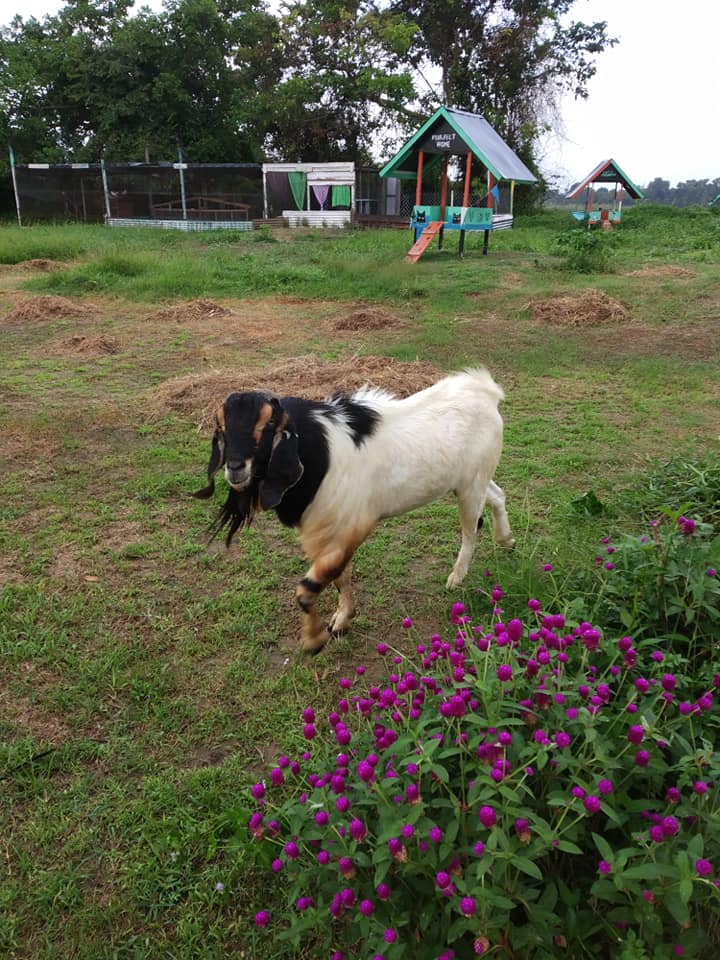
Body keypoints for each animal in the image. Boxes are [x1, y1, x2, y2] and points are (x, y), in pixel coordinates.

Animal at [194, 369, 515, 653]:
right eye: (221, 428)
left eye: (268, 425)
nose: (235, 468)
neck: (319, 453)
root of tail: (486, 391)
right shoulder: (330, 530)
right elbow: (341, 576)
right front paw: (341, 620)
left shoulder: (351, 526)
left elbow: (309, 587)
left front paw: (315, 639)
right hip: (470, 480)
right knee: (497, 495)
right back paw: (507, 540)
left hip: (471, 484)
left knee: (471, 529)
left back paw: (457, 577)